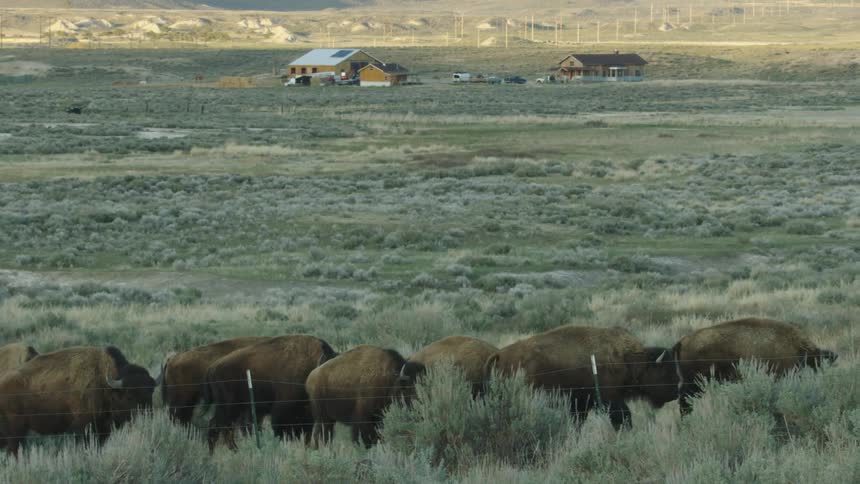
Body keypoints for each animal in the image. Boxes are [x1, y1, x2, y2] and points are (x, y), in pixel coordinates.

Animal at [0, 346, 155, 456]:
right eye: (129, 395)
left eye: (151, 393)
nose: (147, 417)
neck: (105, 384)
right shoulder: (82, 428)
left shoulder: (103, 430)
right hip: (16, 429)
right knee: (13, 449)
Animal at [202, 335, 337, 451]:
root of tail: (212, 368)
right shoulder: (283, 411)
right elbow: (283, 431)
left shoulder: (307, 415)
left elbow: (306, 433)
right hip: (229, 406)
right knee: (220, 426)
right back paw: (229, 451)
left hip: (234, 408)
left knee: (220, 426)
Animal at [485, 325, 676, 429]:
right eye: (663, 371)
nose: (675, 393)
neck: (627, 359)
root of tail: (500, 355)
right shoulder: (610, 400)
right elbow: (624, 418)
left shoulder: (580, 406)